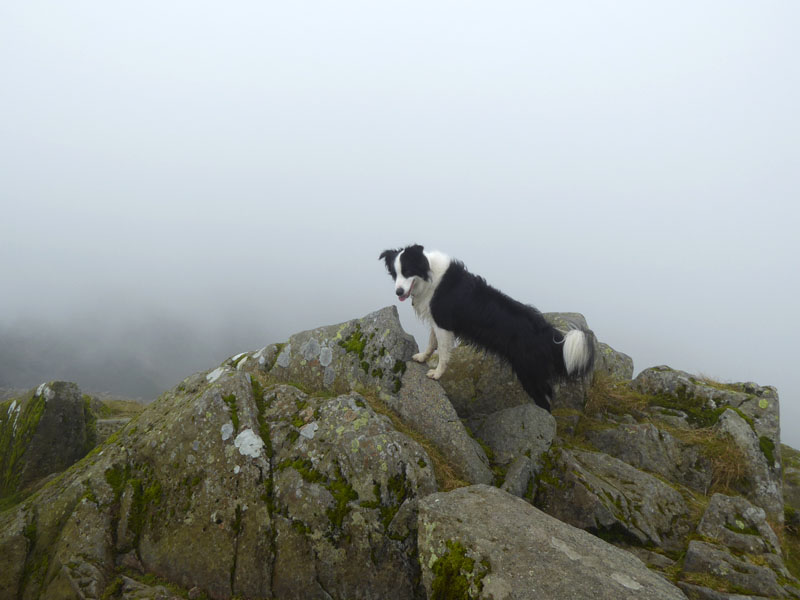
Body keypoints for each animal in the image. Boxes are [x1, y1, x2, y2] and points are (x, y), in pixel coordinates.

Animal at [380, 244, 592, 412]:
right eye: (395, 273)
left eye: (407, 271)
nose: (398, 291)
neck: (429, 277)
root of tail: (548, 334)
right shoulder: (437, 321)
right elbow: (432, 343)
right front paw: (423, 357)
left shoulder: (444, 325)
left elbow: (443, 353)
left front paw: (437, 374)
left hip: (529, 373)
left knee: (545, 403)